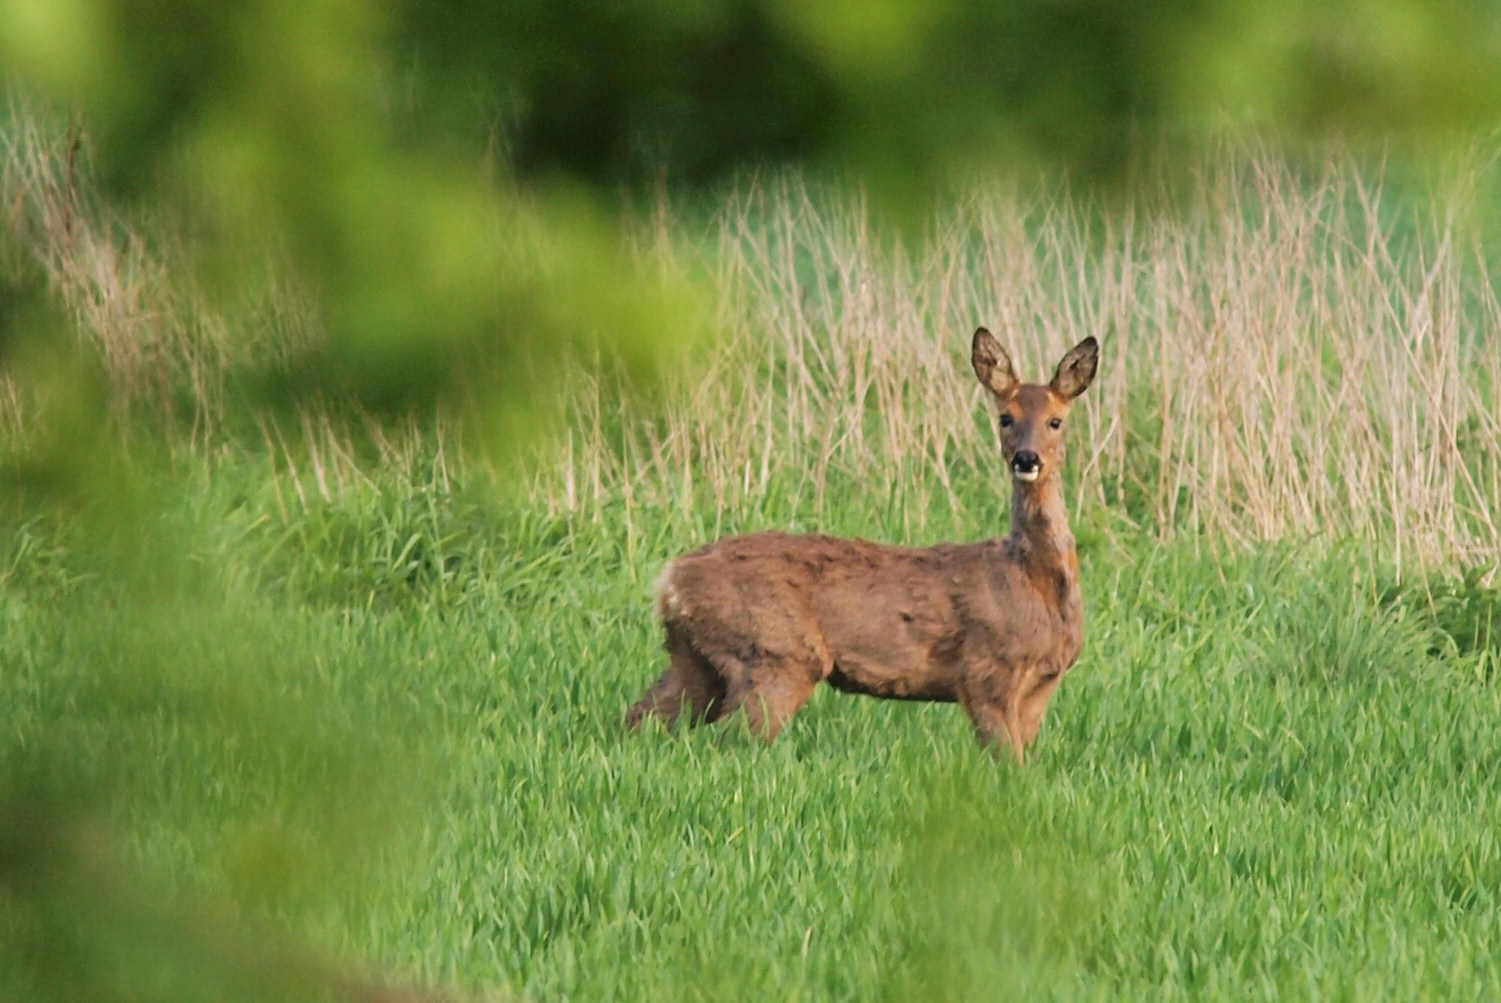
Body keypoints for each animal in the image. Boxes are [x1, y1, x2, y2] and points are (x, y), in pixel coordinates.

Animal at [624, 328, 1104, 759]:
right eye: (1005, 418)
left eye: (1056, 421)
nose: (1027, 459)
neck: (1032, 578)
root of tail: (670, 583)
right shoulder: (986, 672)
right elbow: (1007, 762)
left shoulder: (1041, 686)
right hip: (773, 653)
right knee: (730, 741)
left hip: (694, 660)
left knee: (639, 717)